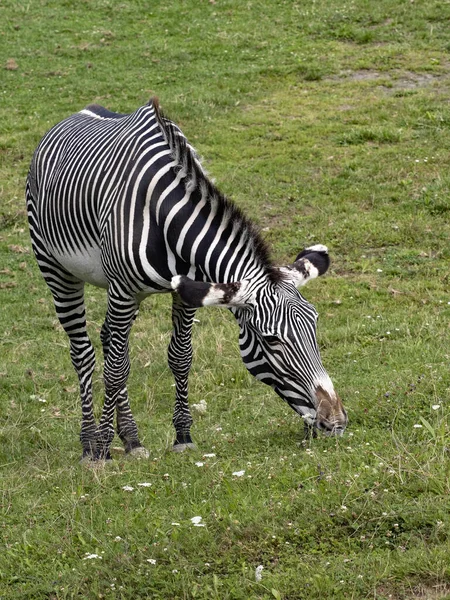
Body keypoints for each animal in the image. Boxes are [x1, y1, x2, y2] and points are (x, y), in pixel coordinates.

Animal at [25, 98, 348, 462]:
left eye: (315, 324)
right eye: (271, 341)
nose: (335, 422)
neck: (167, 217)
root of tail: (78, 113)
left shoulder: (185, 291)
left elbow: (180, 357)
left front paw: (182, 435)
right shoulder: (123, 290)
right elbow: (116, 369)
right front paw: (104, 447)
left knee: (110, 340)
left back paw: (131, 439)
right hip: (56, 268)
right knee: (85, 354)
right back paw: (90, 443)